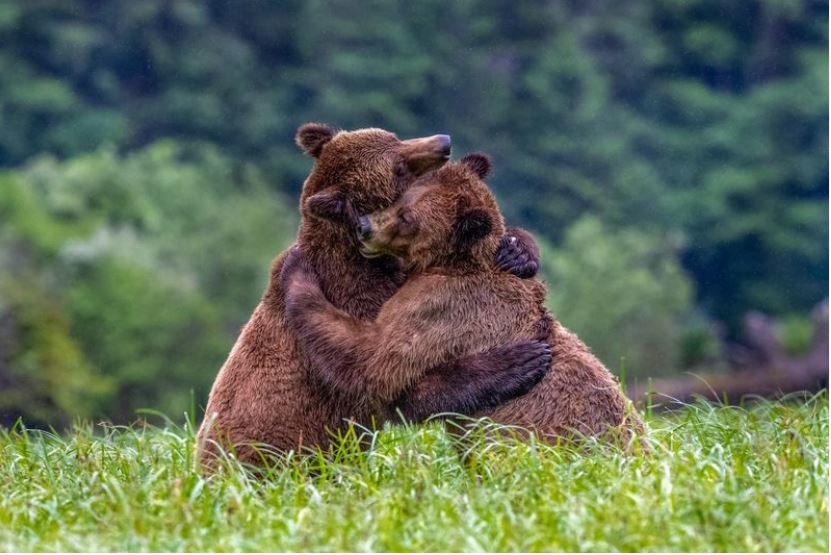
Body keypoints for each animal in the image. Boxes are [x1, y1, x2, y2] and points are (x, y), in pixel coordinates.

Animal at [197, 124, 548, 466]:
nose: (443, 143)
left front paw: (517, 253)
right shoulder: (362, 300)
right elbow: (386, 375)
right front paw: (517, 362)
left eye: (394, 137)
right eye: (399, 167)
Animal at [282, 153, 648, 448]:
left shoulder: (441, 306)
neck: (450, 262)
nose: (364, 227)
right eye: (398, 199)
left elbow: (375, 359)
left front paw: (297, 272)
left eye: (408, 218)